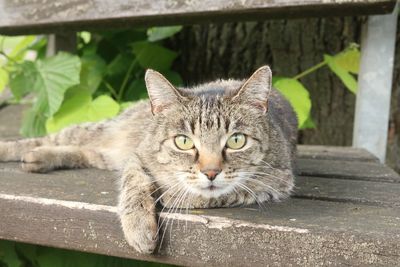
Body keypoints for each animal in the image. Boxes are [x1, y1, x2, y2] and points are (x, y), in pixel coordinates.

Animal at [0, 66, 296, 254]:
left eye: (236, 141)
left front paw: (176, 193)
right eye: (183, 141)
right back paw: (15, 150)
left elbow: (224, 192)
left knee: (83, 152)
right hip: (102, 131)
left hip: (107, 153)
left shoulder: (278, 180)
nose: (211, 172)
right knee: (54, 138)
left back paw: (38, 159)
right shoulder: (136, 156)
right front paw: (139, 226)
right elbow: (134, 185)